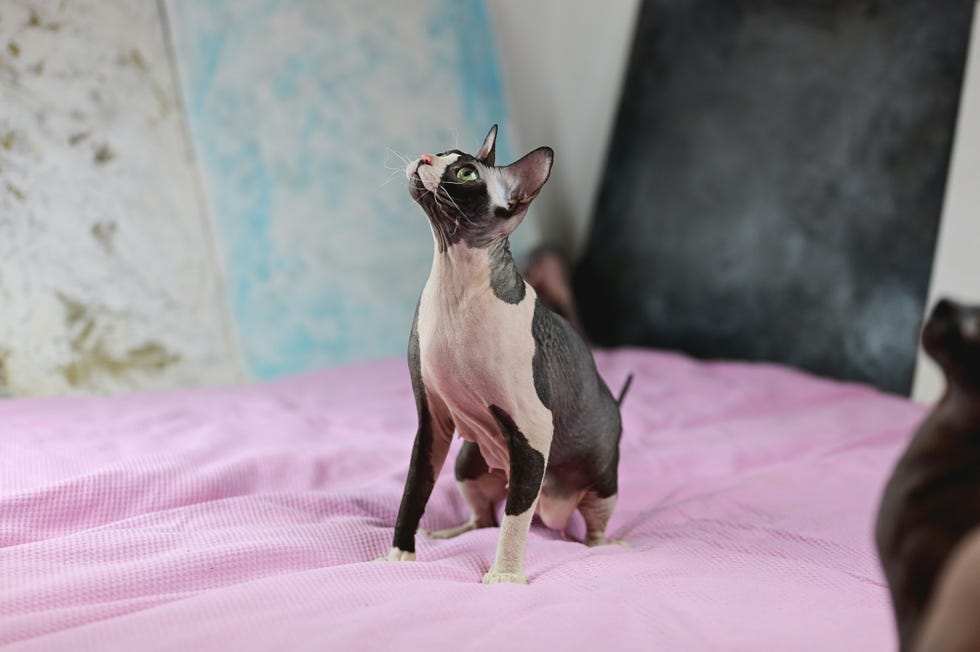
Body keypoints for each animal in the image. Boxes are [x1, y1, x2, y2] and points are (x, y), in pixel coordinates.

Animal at [376, 125, 628, 584]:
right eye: (443, 152)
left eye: (465, 172)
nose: (425, 157)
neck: (454, 285)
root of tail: (553, 512)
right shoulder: (432, 421)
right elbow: (413, 490)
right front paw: (400, 554)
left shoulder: (534, 428)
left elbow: (514, 520)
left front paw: (506, 577)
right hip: (467, 461)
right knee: (484, 517)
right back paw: (454, 531)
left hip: (601, 481)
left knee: (581, 523)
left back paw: (605, 545)